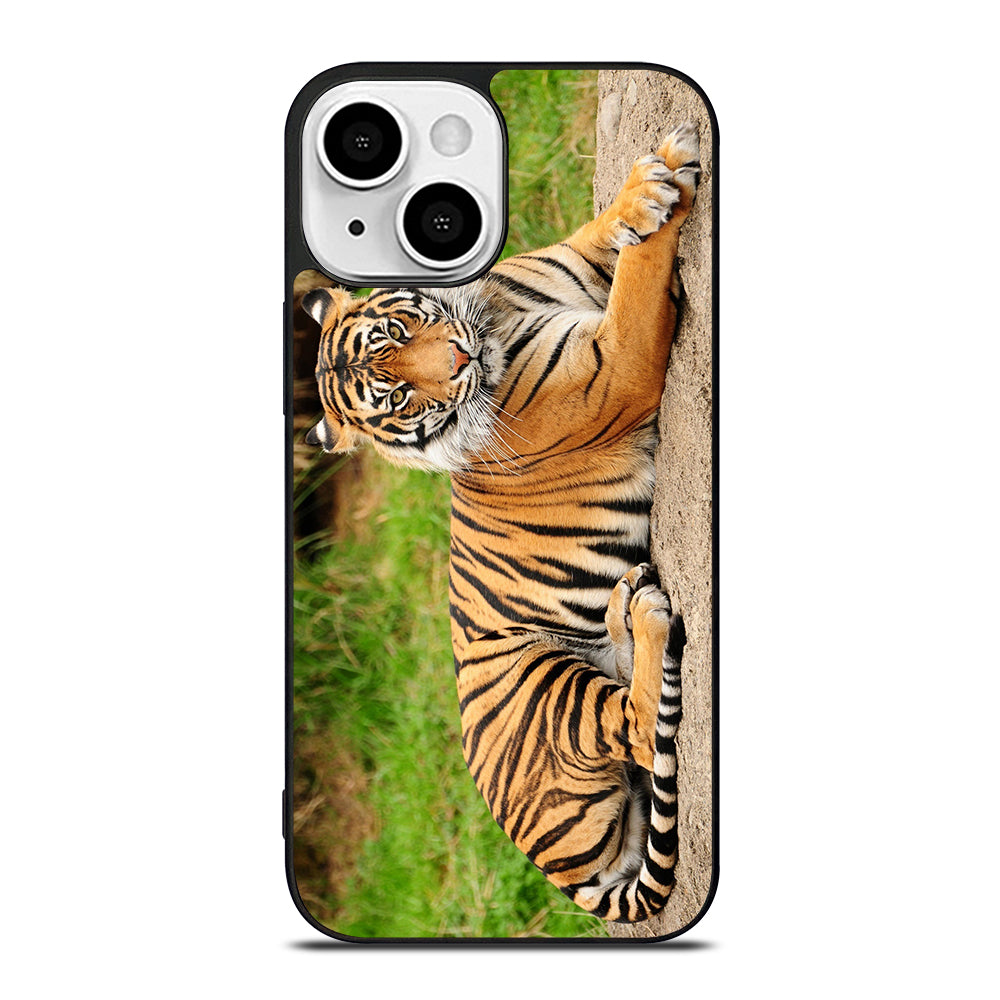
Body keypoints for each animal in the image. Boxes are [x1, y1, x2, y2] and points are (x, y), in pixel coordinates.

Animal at [301, 121, 700, 923]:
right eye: (395, 397)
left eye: (400, 328)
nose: (458, 362)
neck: (492, 314)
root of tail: (562, 874)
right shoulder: (617, 365)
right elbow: (640, 278)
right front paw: (664, 187)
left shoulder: (572, 267)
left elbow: (608, 234)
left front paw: (649, 185)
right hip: (543, 683)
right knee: (641, 728)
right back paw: (645, 615)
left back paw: (625, 605)